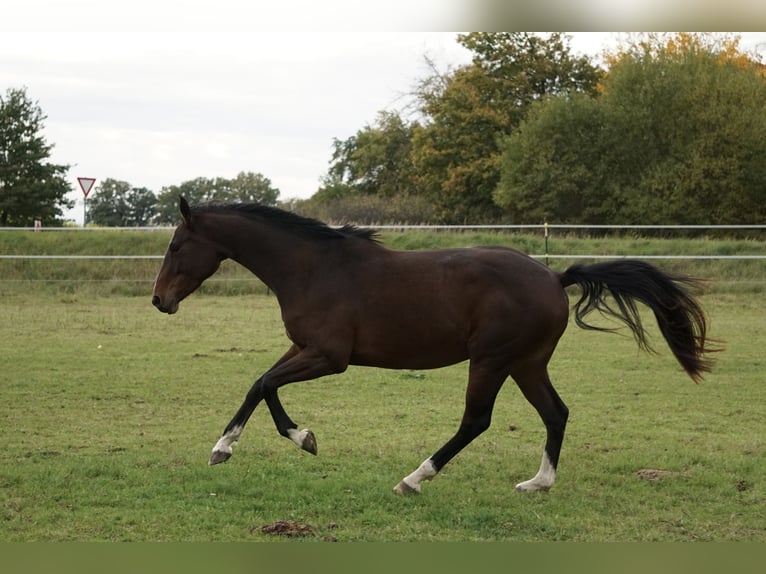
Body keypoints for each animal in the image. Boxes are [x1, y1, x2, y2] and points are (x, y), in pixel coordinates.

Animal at [152, 197, 717, 493]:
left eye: (177, 245)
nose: (160, 301)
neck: (313, 267)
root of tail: (555, 277)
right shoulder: (305, 349)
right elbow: (259, 385)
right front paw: (235, 446)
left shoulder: (328, 357)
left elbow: (266, 384)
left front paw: (292, 438)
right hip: (526, 363)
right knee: (556, 413)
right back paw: (538, 483)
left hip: (492, 360)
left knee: (477, 421)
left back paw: (415, 478)